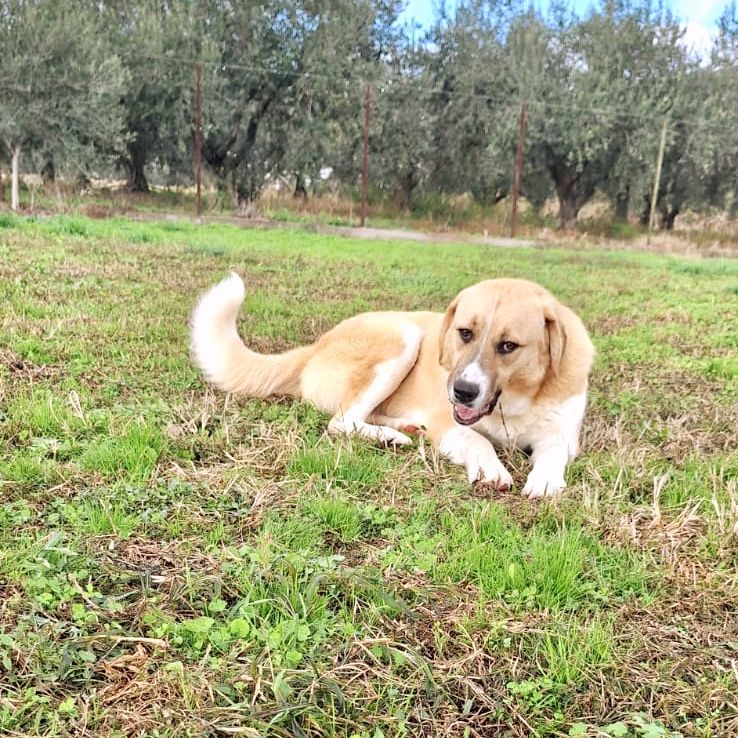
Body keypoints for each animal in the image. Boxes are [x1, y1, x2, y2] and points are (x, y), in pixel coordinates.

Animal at [190, 274, 595, 497]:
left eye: (508, 346)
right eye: (465, 333)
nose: (461, 392)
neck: (511, 404)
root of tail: (317, 344)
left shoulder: (561, 436)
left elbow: (553, 453)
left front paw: (545, 480)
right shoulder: (451, 425)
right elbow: (477, 439)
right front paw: (491, 470)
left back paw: (403, 428)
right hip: (403, 336)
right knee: (341, 422)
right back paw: (389, 436)